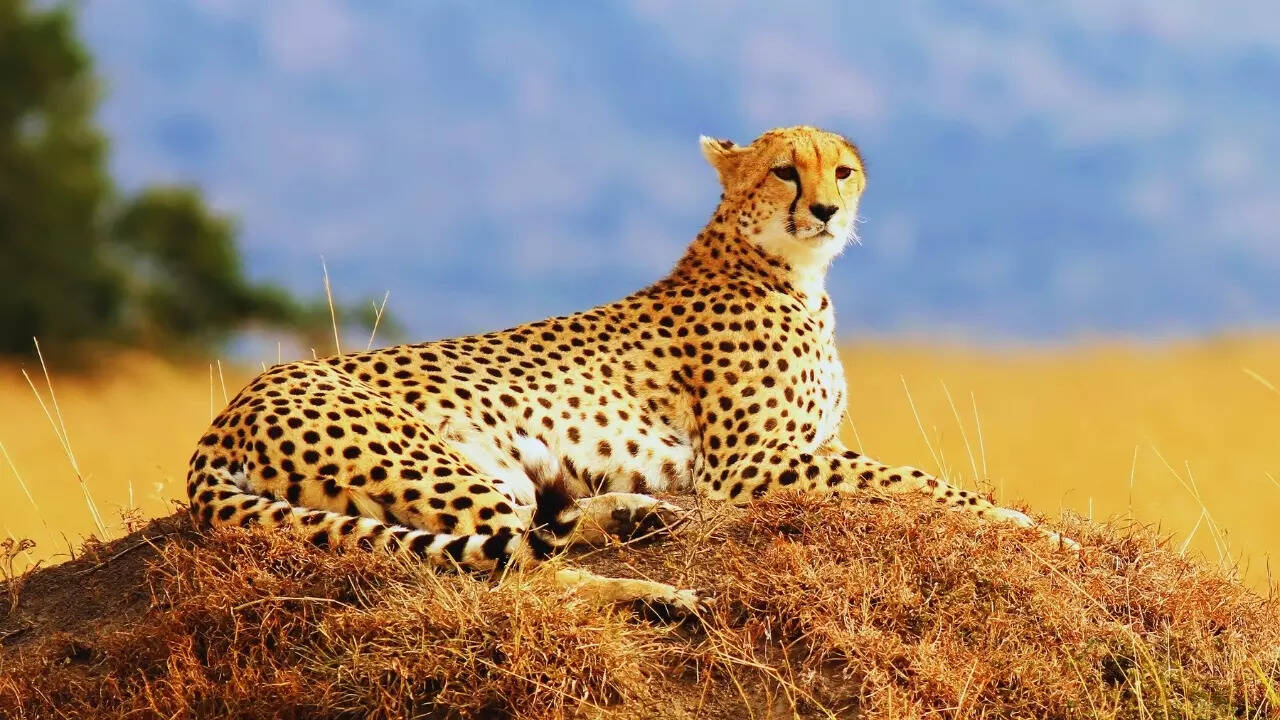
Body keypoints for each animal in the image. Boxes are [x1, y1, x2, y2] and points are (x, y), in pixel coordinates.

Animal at [187, 126, 1076, 615]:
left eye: (842, 170)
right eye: (786, 170)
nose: (826, 210)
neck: (788, 270)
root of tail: (226, 414)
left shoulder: (786, 455)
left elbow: (909, 478)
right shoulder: (749, 466)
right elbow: (920, 480)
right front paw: (1035, 529)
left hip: (487, 471)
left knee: (533, 537)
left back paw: (636, 519)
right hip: (432, 463)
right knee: (515, 571)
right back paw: (658, 594)